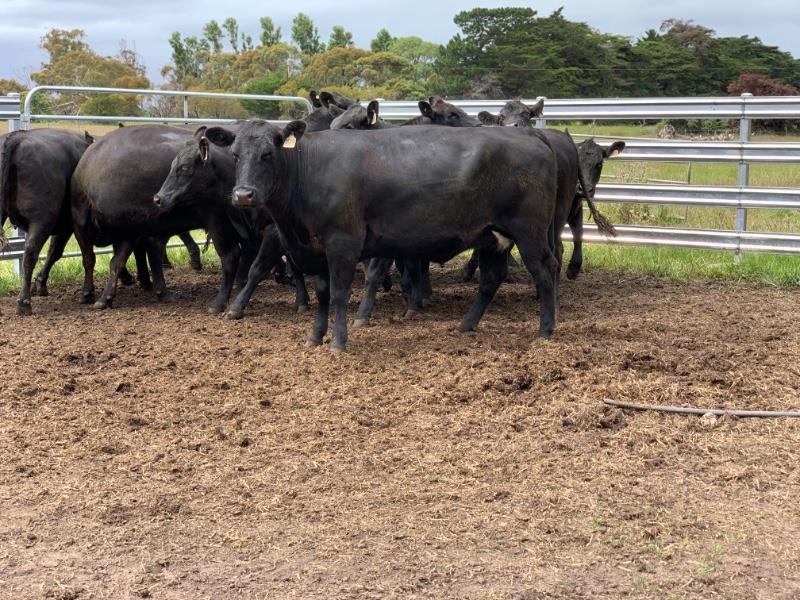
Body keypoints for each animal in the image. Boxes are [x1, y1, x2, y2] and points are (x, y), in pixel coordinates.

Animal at [0, 128, 94, 314]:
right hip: (42, 220)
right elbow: (61, 252)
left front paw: (40, 283)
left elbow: (53, 252)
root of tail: (17, 138)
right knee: (30, 254)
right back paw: (24, 302)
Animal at [205, 119, 559, 352]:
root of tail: (531, 134)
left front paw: (338, 342)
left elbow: (339, 294)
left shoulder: (342, 243)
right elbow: (322, 294)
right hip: (492, 236)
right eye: (235, 154)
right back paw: (466, 326)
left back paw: (545, 331)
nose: (243, 195)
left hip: (529, 231)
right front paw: (315, 337)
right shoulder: (317, 250)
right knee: (491, 279)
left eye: (268, 153)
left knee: (546, 270)